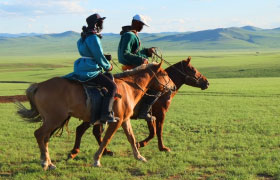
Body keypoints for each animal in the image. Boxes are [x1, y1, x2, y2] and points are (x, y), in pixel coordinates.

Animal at [15, 61, 175, 169]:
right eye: (165, 73)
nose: (173, 87)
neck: (129, 87)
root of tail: (39, 86)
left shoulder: (125, 120)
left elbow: (131, 137)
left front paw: (139, 156)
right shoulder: (116, 121)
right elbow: (106, 139)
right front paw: (97, 160)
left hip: (52, 121)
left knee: (45, 137)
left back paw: (49, 163)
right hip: (54, 119)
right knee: (39, 134)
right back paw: (45, 162)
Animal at [67, 56, 208, 159]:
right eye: (193, 69)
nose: (206, 82)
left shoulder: (149, 116)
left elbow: (153, 132)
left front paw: (139, 144)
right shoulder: (159, 113)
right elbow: (157, 131)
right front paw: (157, 147)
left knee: (93, 132)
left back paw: (104, 151)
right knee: (82, 130)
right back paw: (75, 152)